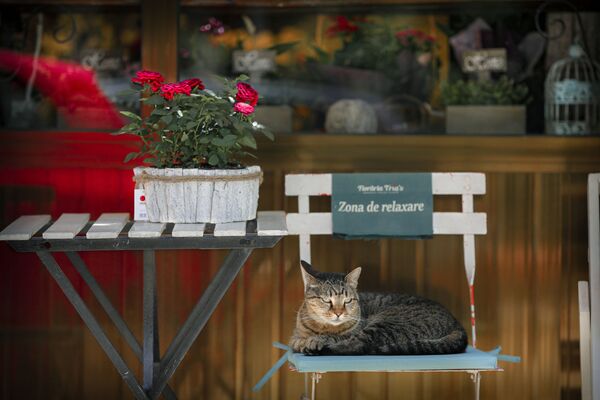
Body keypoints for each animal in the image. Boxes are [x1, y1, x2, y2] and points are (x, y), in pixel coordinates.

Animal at [290, 260, 468, 356]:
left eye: (347, 301)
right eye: (327, 301)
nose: (339, 313)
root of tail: (456, 322)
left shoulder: (356, 329)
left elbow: (337, 337)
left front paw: (316, 340)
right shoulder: (295, 335)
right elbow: (295, 340)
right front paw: (303, 341)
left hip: (387, 323)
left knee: (359, 345)